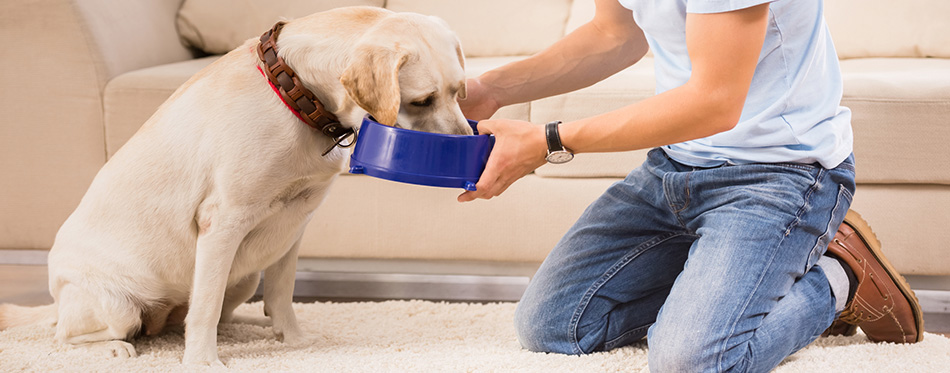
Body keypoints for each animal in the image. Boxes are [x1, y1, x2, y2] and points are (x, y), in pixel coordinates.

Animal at [0, 5, 472, 366]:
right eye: (421, 101)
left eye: (459, 91)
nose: (468, 141)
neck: (296, 92)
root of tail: (56, 298)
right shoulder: (223, 222)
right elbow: (205, 309)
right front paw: (202, 362)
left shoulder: (295, 223)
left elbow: (282, 294)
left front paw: (293, 340)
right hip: (118, 306)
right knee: (72, 334)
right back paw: (114, 348)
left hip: (243, 278)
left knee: (203, 316)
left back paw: (247, 326)